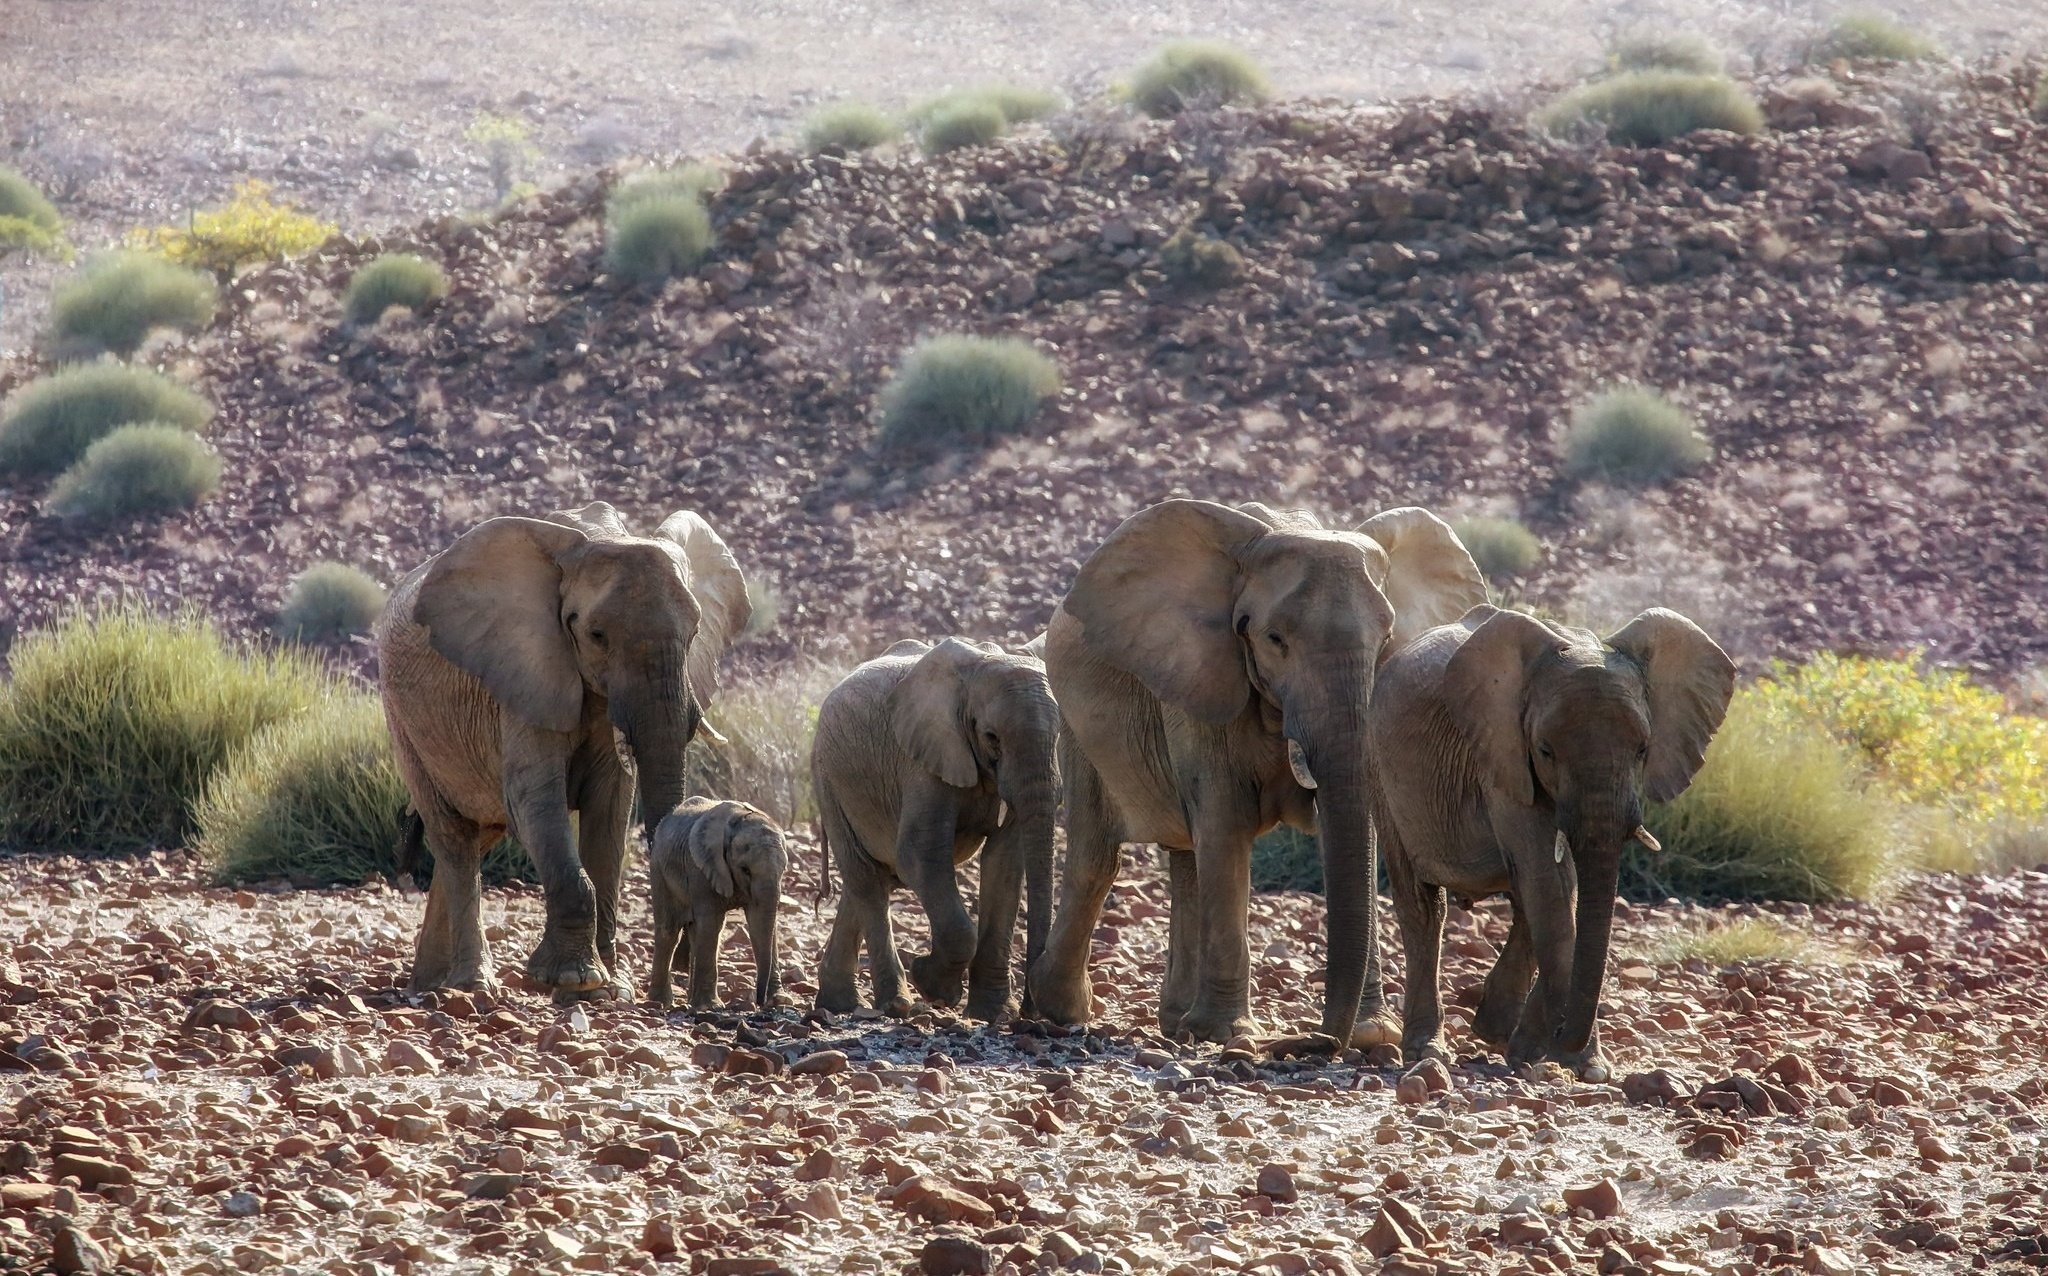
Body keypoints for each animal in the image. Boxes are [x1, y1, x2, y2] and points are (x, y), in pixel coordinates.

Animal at [376, 500, 750, 999]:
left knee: (477, 836)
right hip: (404, 723)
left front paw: (613, 986)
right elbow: (535, 800)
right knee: (453, 839)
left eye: (694, 635)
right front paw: (576, 980)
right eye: (596, 635)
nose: (685, 961)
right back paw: (472, 985)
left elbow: (610, 809)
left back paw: (433, 982)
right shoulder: (525, 668)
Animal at [647, 798, 788, 1010]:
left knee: (694, 932)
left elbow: (760, 924)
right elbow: (712, 923)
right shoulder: (699, 867)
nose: (759, 1002)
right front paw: (710, 1007)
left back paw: (689, 1001)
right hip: (658, 869)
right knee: (669, 932)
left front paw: (779, 1001)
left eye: (783, 869)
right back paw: (660, 1003)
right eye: (745, 869)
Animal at [812, 638, 1060, 1022]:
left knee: (871, 878)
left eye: (1060, 735)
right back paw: (895, 1004)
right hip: (830, 780)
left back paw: (838, 1003)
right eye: (992, 738)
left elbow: (1004, 863)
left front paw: (990, 1014)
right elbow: (920, 854)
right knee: (866, 876)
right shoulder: (923, 758)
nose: (1030, 1015)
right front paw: (933, 986)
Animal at [1028, 499, 1489, 1047]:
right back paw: (1063, 1009)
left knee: (1186, 857)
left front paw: (1374, 1035)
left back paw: (1174, 1021)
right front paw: (1226, 1033)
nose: (1317, 1042)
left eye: (1386, 641)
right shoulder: (1202, 673)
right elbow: (1225, 821)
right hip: (1076, 722)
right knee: (1098, 856)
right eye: (1274, 640)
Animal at [1367, 604, 1734, 1079]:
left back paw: (1497, 1032)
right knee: (1424, 906)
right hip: (1381, 770)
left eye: (1642, 750)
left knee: (1524, 902)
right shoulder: (1501, 757)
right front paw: (1584, 1066)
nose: (1564, 1040)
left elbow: (1559, 889)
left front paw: (1540, 1053)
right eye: (1544, 750)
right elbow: (1550, 882)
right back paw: (1427, 1051)